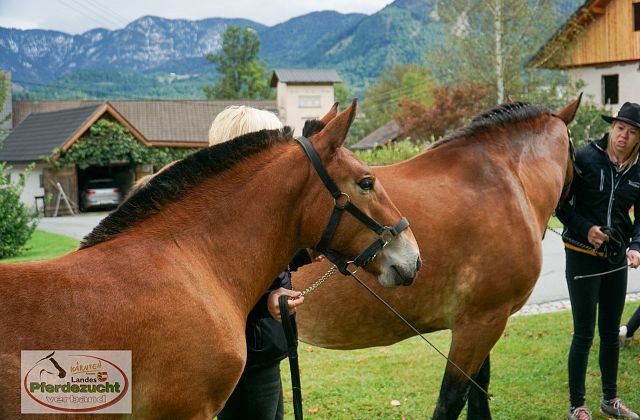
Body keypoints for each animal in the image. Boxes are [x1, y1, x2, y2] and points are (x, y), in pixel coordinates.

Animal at [294, 97, 580, 420]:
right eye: (575, 149)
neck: (507, 180)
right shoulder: (483, 322)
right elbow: (453, 399)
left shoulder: (480, 322)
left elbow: (478, 391)